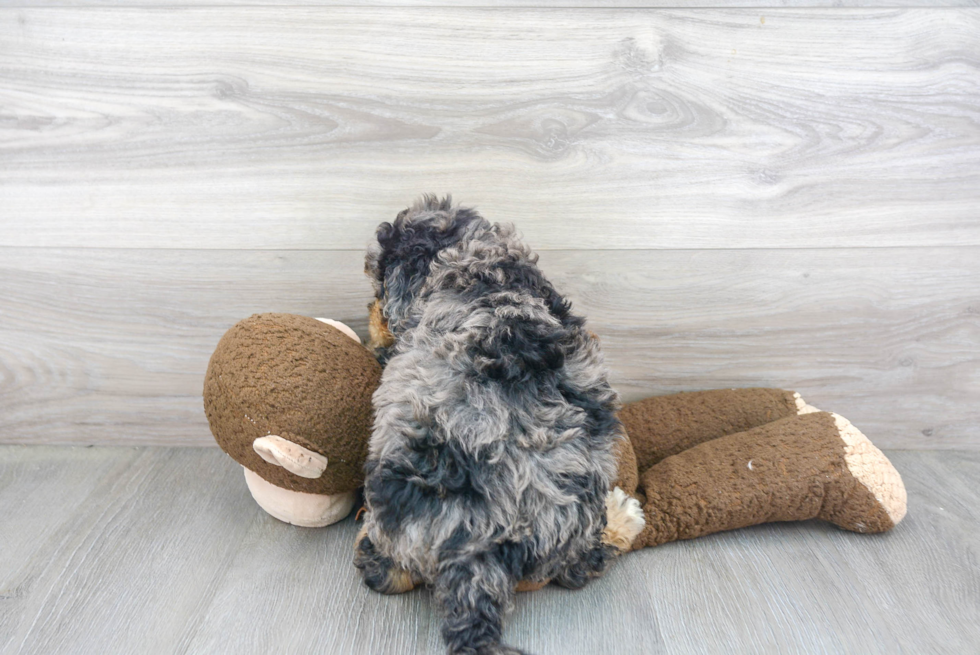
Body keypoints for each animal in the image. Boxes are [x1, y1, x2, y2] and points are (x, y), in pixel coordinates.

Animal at [352, 195, 644, 655]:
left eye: (377, 287)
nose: (368, 316)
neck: (475, 258)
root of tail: (476, 554)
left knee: (382, 571)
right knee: (579, 566)